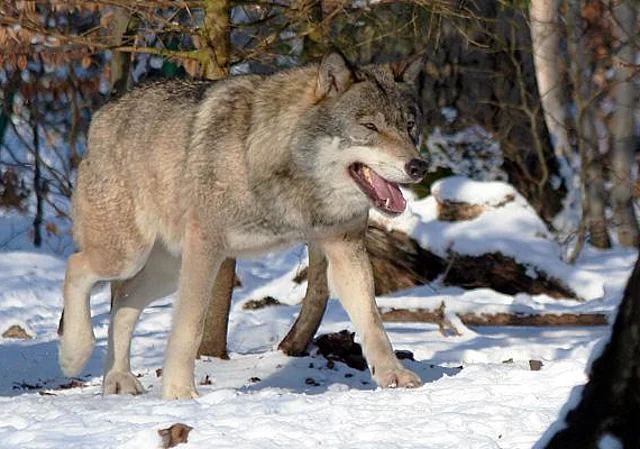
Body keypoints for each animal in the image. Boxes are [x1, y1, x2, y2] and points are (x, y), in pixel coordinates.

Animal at [58, 51, 428, 400]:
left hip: (164, 272)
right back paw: (74, 354)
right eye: (370, 127)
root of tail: (102, 113)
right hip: (126, 255)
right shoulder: (205, 248)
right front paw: (179, 392)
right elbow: (189, 326)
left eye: (410, 126)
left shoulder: (346, 249)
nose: (418, 166)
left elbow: (373, 321)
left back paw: (116, 379)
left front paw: (393, 375)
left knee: (121, 303)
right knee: (75, 267)